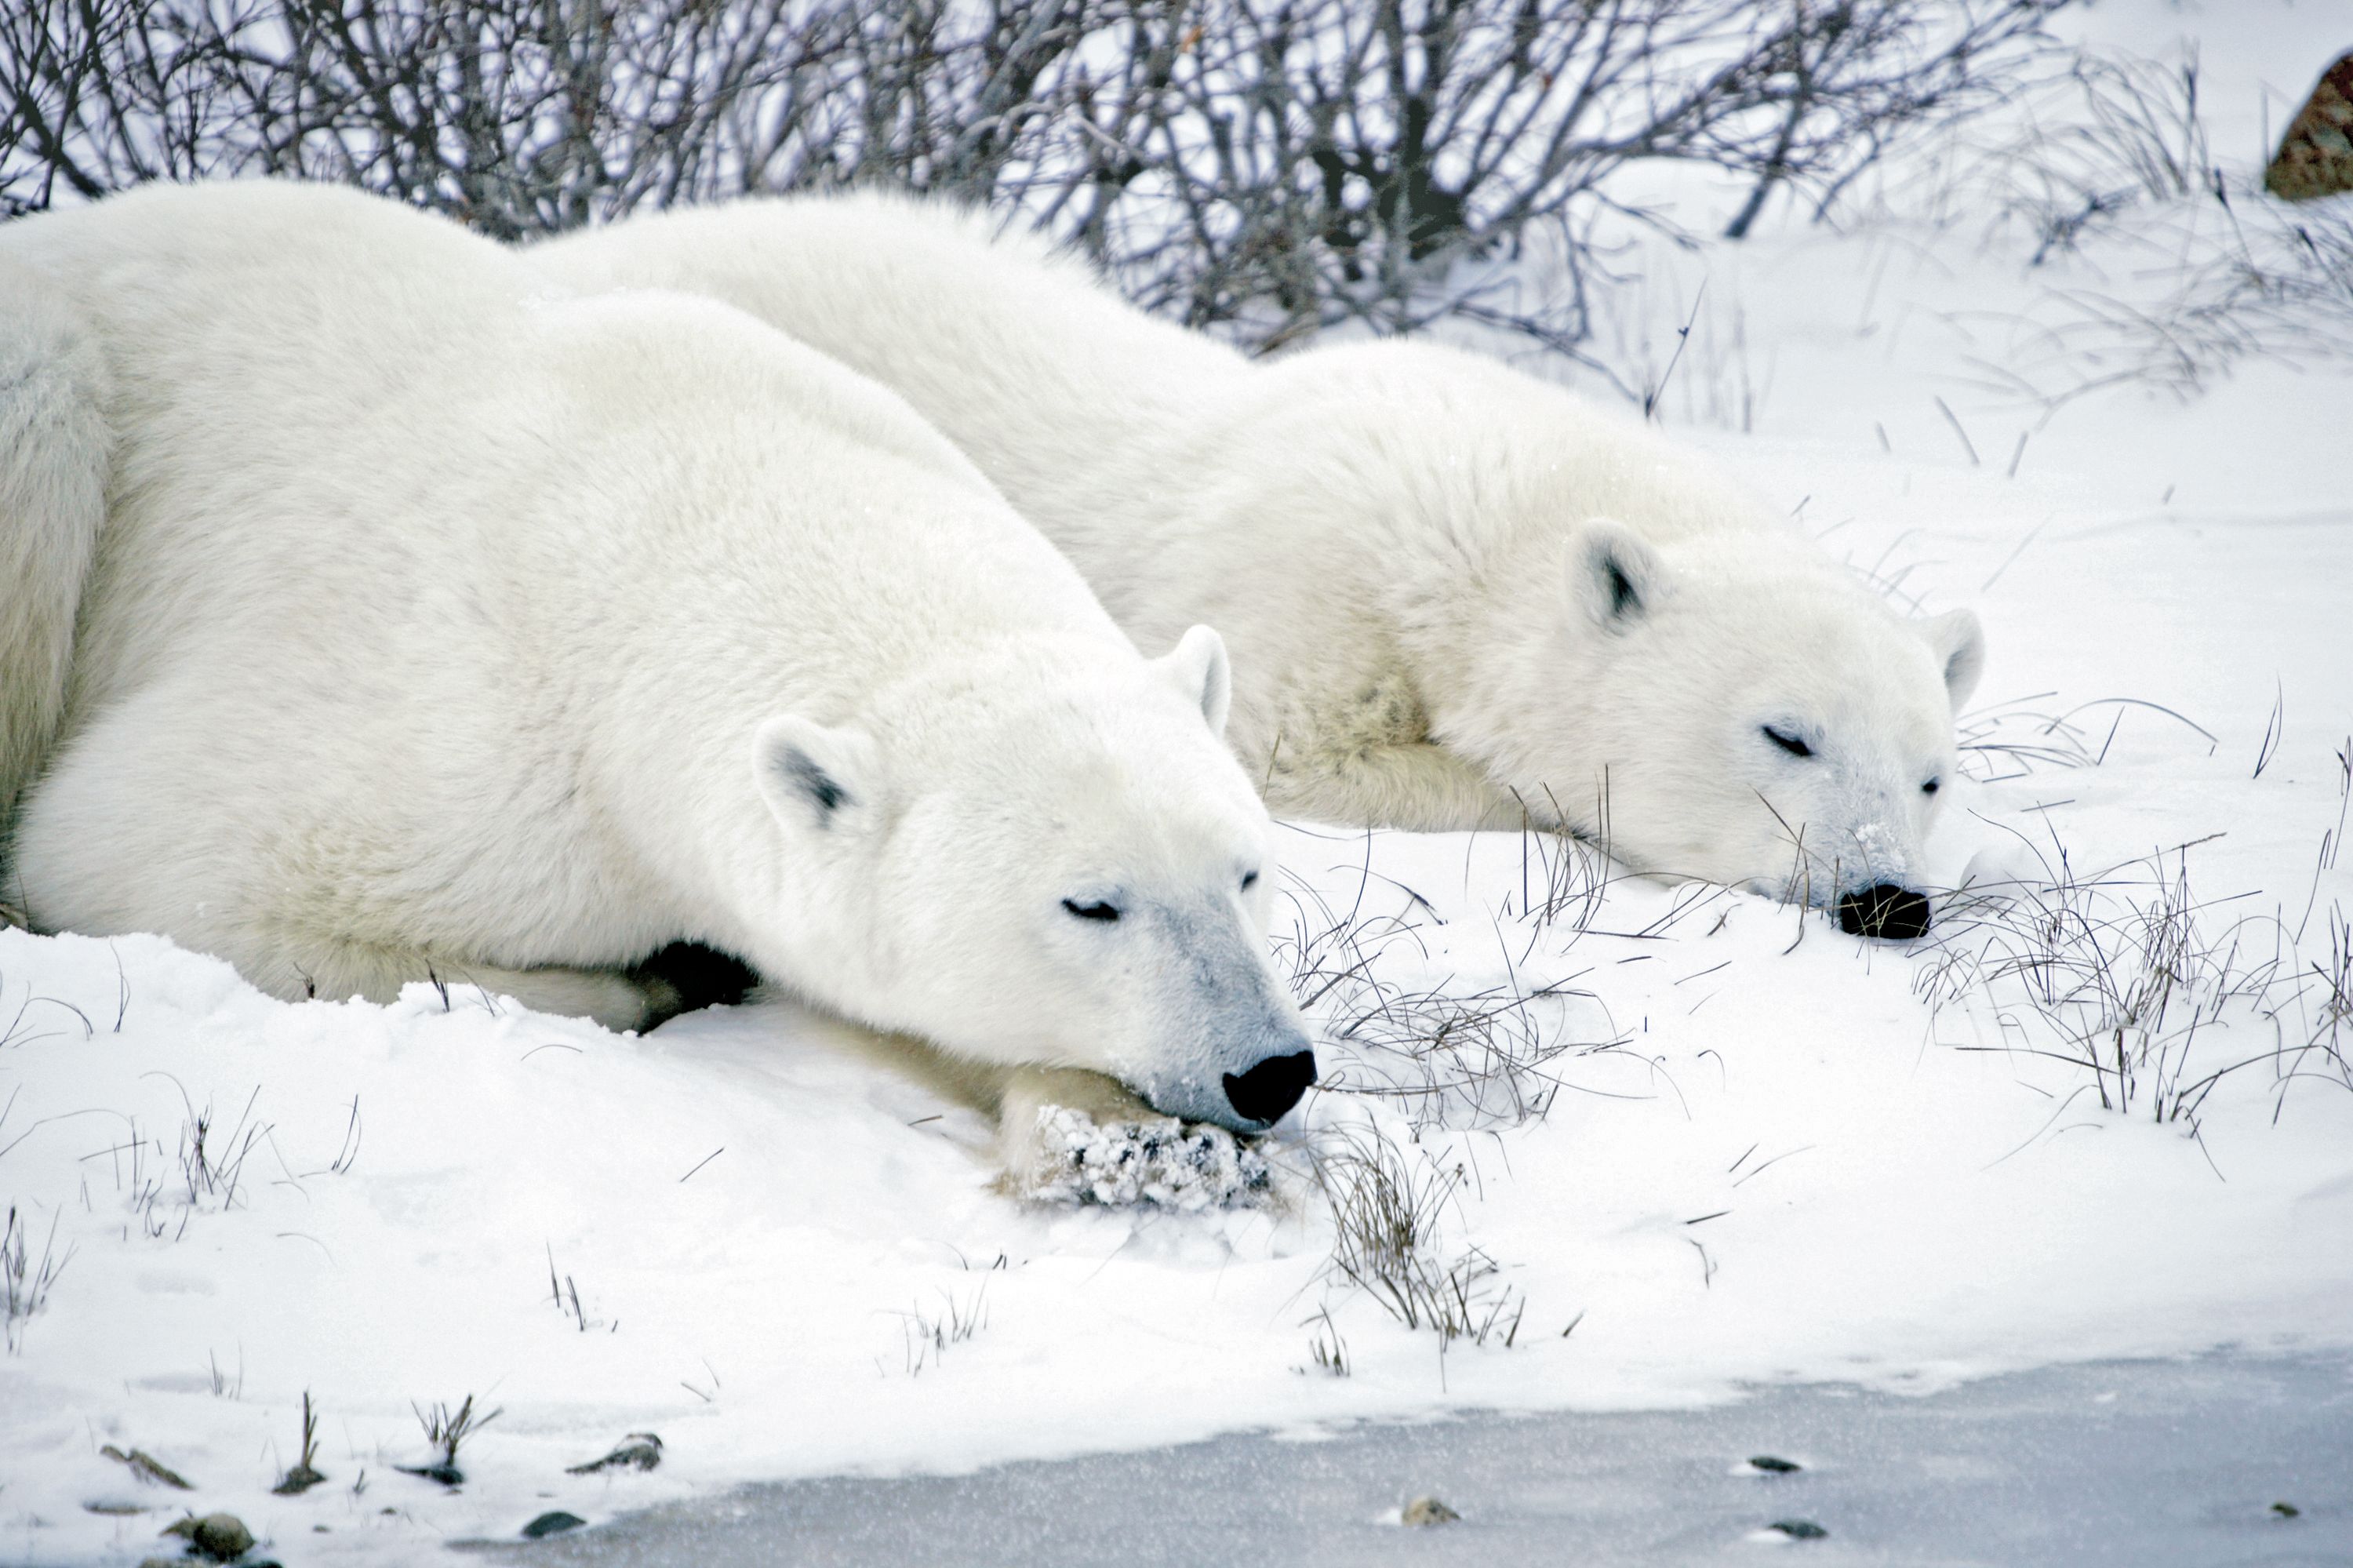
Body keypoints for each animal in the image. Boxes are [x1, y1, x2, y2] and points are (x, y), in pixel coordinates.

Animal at [0, 186, 1327, 1158]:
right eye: (1091, 902)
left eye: (1246, 870)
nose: (1270, 1067)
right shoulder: (465, 731)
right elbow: (140, 850)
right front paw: (652, 974)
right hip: (56, 391)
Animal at [534, 189, 1986, 932]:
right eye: (1787, 732)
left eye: (1928, 772)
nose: (1888, 898)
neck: (1474, 499)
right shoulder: (1299, 585)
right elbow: (1310, 751)